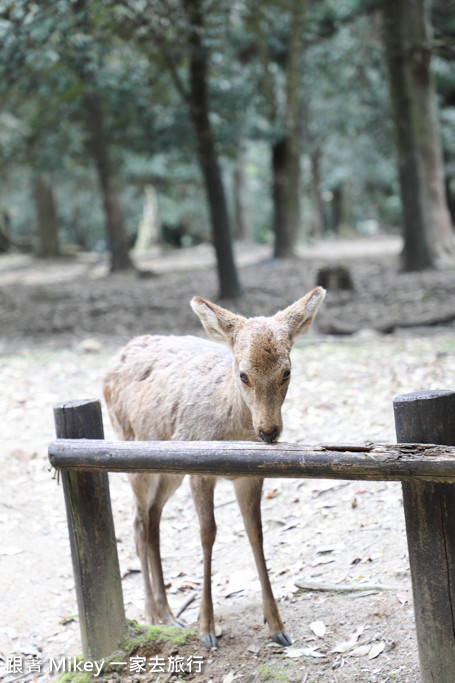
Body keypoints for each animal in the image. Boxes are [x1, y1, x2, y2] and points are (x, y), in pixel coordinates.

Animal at [102, 286, 326, 648]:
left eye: (287, 372)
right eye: (243, 374)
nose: (268, 431)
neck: (230, 432)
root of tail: (116, 356)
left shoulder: (251, 477)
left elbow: (256, 533)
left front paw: (276, 625)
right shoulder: (199, 472)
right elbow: (207, 534)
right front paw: (207, 627)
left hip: (167, 472)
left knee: (154, 519)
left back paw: (169, 613)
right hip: (131, 453)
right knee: (138, 524)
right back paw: (151, 613)